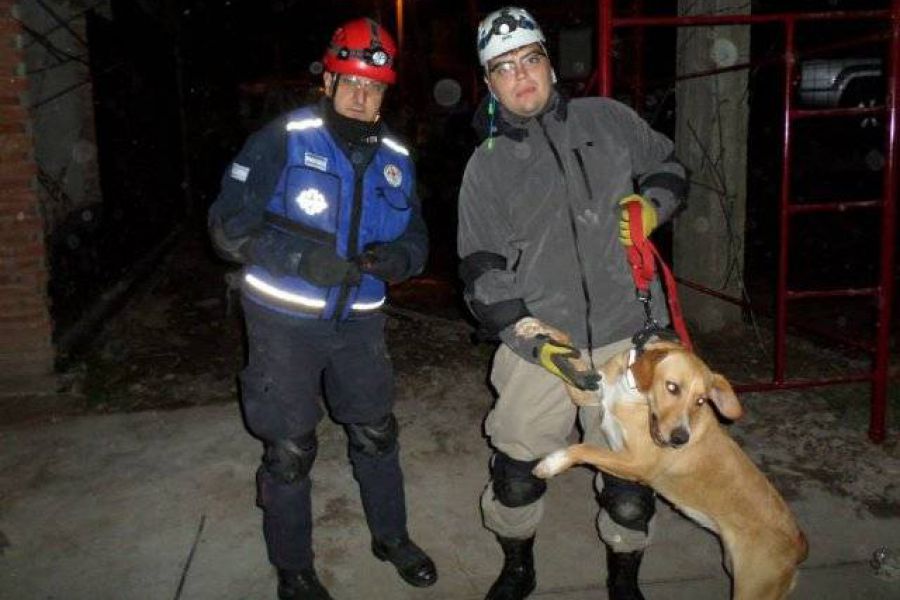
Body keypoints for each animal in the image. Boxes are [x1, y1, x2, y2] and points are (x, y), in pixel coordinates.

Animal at [532, 338, 812, 600]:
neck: (632, 392)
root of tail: (798, 543)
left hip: (753, 588)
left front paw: (553, 462)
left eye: (701, 401)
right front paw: (542, 336)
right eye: (672, 387)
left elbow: (586, 448)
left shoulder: (637, 464)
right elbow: (572, 369)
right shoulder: (588, 395)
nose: (680, 439)